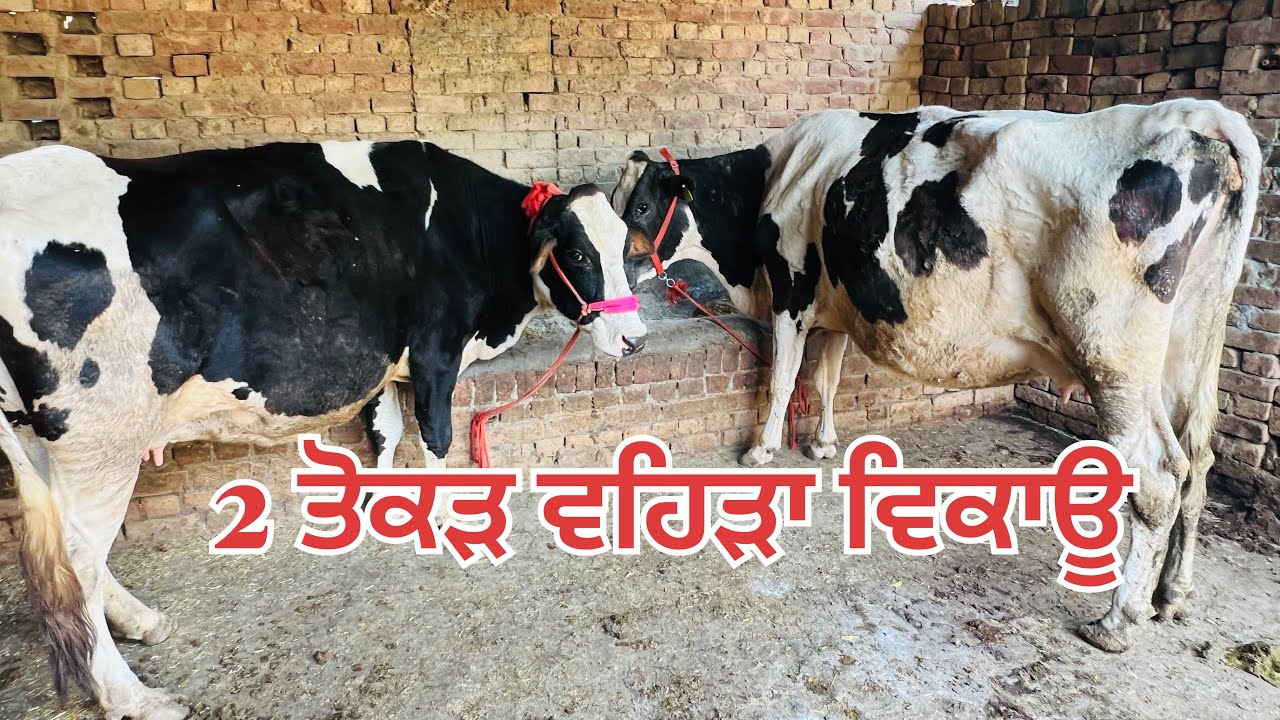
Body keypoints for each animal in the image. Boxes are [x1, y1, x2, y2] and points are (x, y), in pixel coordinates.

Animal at [0, 139, 647, 719]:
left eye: (625, 248)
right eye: (579, 256)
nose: (635, 339)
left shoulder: (385, 362)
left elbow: (385, 431)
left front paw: (383, 510)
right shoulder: (436, 349)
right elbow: (434, 434)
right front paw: (442, 516)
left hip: (35, 434)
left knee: (70, 550)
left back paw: (141, 621)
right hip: (98, 438)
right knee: (79, 557)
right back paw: (129, 696)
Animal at [612, 98, 1261, 654]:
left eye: (640, 207)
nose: (611, 273)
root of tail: (1197, 126)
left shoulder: (792, 288)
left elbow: (784, 376)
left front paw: (761, 449)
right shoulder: (837, 303)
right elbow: (825, 379)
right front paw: (822, 444)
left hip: (1115, 357)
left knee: (1157, 476)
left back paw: (1117, 620)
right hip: (1190, 346)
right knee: (1198, 460)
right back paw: (1171, 595)